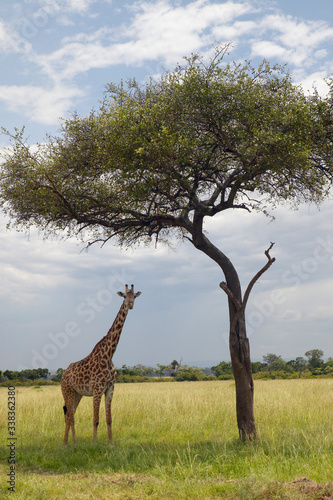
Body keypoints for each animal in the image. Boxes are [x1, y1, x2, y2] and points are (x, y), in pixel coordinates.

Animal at [60, 286, 141, 446]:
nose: (130, 304)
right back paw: (68, 444)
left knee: (70, 415)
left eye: (134, 296)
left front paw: (111, 443)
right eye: (124, 296)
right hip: (67, 391)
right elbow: (96, 419)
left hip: (77, 393)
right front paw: (94, 443)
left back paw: (72, 443)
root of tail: (63, 374)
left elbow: (109, 419)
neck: (109, 355)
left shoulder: (110, 388)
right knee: (70, 416)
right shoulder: (97, 389)